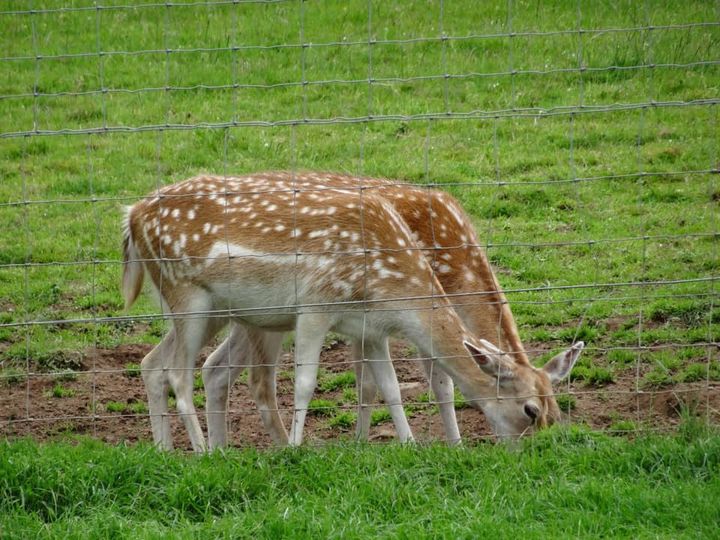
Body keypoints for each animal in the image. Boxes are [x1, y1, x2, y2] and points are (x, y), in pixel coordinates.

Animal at [122, 172, 582, 452]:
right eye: (531, 411)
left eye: (558, 413)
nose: (532, 452)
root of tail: (131, 216)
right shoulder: (316, 307)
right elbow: (314, 382)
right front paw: (451, 445)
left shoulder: (370, 327)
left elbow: (386, 386)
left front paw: (401, 445)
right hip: (194, 298)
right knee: (190, 374)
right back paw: (209, 450)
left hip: (220, 312)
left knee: (165, 364)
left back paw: (178, 450)